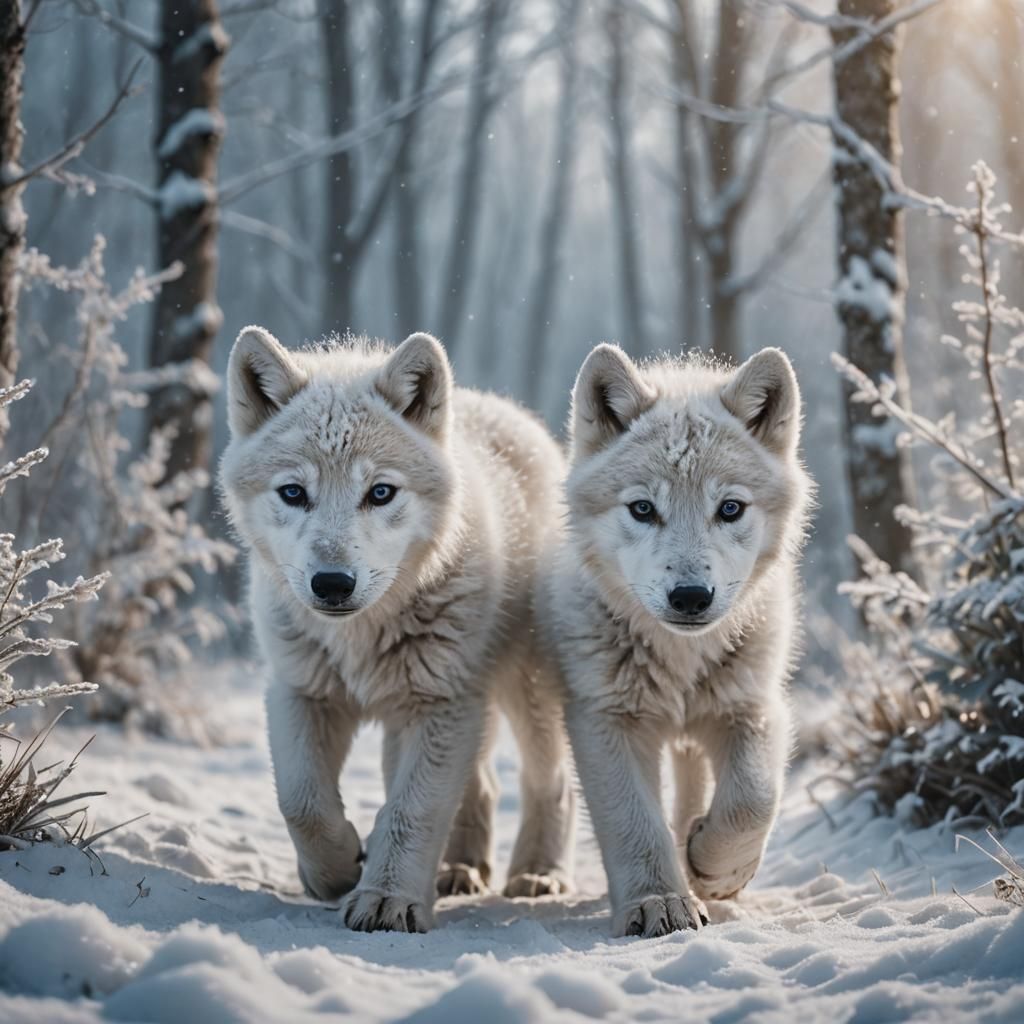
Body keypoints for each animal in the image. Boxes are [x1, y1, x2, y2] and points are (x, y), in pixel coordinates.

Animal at [219, 327, 576, 932]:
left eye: (380, 493)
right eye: (293, 493)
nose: (332, 584)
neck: (361, 635)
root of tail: (509, 411)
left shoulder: (440, 705)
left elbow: (413, 808)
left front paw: (387, 900)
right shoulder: (300, 691)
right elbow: (302, 801)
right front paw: (337, 871)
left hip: (524, 692)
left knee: (550, 782)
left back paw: (538, 875)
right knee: (482, 786)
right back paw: (457, 870)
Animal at [543, 343, 811, 938]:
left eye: (730, 508)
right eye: (643, 509)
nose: (690, 596)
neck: (681, 658)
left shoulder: (753, 707)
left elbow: (752, 799)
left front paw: (713, 868)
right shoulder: (604, 720)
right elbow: (635, 822)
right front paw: (660, 903)